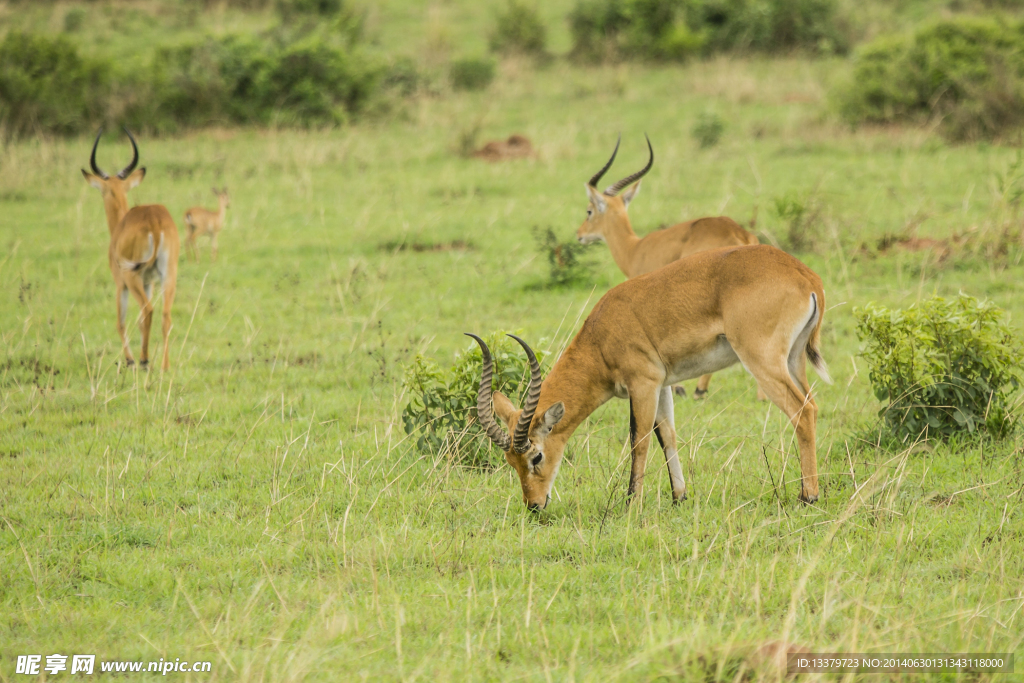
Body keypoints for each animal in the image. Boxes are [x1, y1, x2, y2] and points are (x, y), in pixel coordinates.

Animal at [81, 127, 180, 374]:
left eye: (103, 191)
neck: (120, 224)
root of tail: (155, 220)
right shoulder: (149, 282)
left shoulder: (121, 284)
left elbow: (121, 322)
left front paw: (131, 360)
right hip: (168, 275)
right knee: (165, 315)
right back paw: (164, 365)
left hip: (131, 276)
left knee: (147, 311)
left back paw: (143, 360)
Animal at [468, 242, 827, 509]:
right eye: (510, 462)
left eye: (536, 455)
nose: (534, 504)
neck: (602, 336)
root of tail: (806, 276)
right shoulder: (663, 384)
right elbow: (667, 434)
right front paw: (679, 496)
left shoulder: (642, 384)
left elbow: (638, 440)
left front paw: (631, 502)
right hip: (794, 361)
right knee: (812, 405)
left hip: (762, 361)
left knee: (802, 410)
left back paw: (808, 496)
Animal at [577, 135, 761, 401]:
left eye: (589, 211)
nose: (579, 234)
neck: (635, 248)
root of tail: (739, 233)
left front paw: (678, 387)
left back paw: (700, 390)